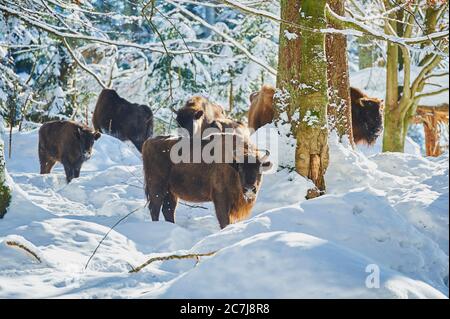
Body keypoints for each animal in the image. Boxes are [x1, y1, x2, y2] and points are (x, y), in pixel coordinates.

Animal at [142, 135, 272, 230]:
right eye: (240, 169)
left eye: (259, 169)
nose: (250, 189)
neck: (232, 165)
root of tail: (148, 142)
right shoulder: (220, 199)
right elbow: (224, 220)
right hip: (157, 188)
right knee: (155, 208)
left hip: (171, 192)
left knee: (168, 210)